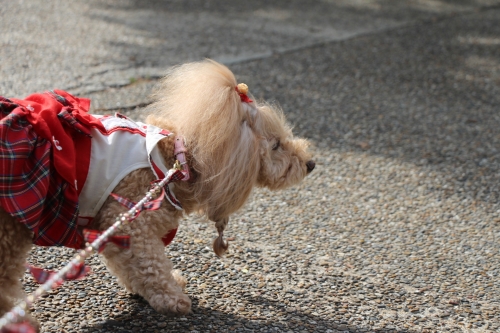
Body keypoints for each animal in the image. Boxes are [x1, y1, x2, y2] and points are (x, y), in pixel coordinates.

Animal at [0, 58, 312, 326]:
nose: (310, 163)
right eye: (276, 145)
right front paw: (172, 298)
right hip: (10, 233)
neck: (180, 162)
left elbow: (128, 263)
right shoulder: (130, 221)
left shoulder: (114, 228)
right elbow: (150, 265)